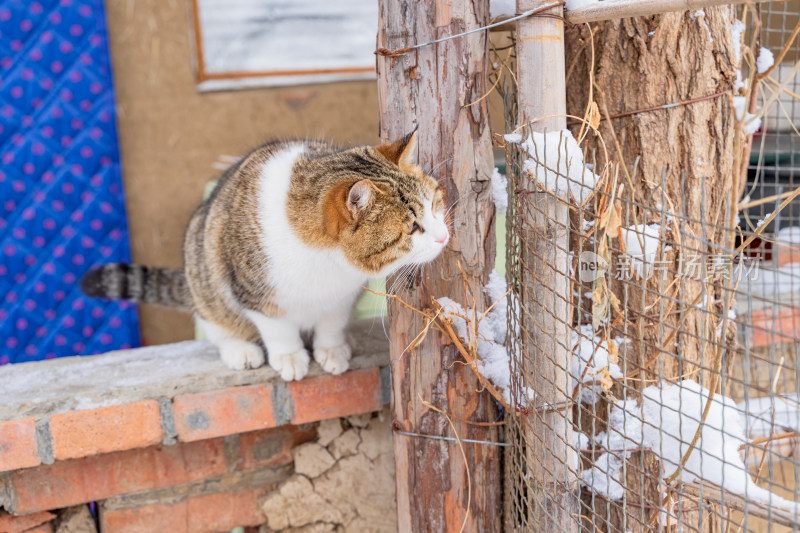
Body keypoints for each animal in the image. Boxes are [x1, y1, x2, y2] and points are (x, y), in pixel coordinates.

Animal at [80, 132, 450, 382]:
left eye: (434, 205)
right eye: (413, 227)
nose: (444, 236)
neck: (326, 263)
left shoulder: (344, 293)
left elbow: (332, 320)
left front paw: (331, 348)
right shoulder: (253, 291)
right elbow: (276, 325)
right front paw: (289, 356)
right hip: (204, 271)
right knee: (215, 320)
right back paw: (239, 349)